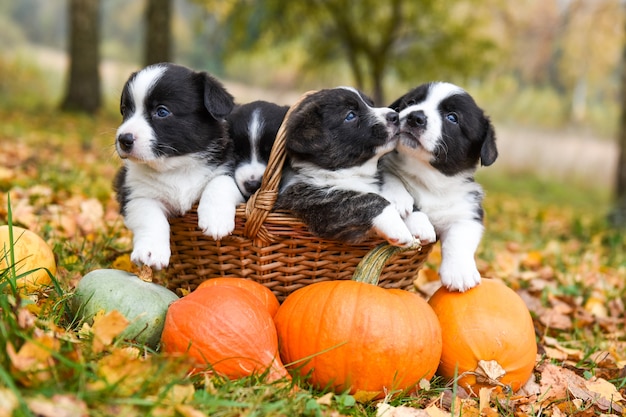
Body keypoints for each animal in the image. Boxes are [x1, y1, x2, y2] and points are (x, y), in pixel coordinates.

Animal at [112, 63, 241, 268]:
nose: (124, 139)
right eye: (125, 110)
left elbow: (219, 184)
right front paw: (151, 252)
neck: (176, 167)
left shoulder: (227, 167)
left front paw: (216, 220)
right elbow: (151, 218)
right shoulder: (134, 194)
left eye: (162, 111)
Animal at [276, 86, 416, 245]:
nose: (395, 116)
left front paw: (404, 203)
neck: (350, 171)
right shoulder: (313, 201)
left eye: (371, 104)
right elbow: (366, 198)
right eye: (350, 115)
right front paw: (398, 227)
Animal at [380, 80, 498, 290]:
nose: (415, 117)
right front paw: (405, 206)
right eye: (411, 101)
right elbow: (391, 176)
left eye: (452, 117)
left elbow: (459, 239)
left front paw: (460, 272)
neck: (428, 177)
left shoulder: (468, 212)